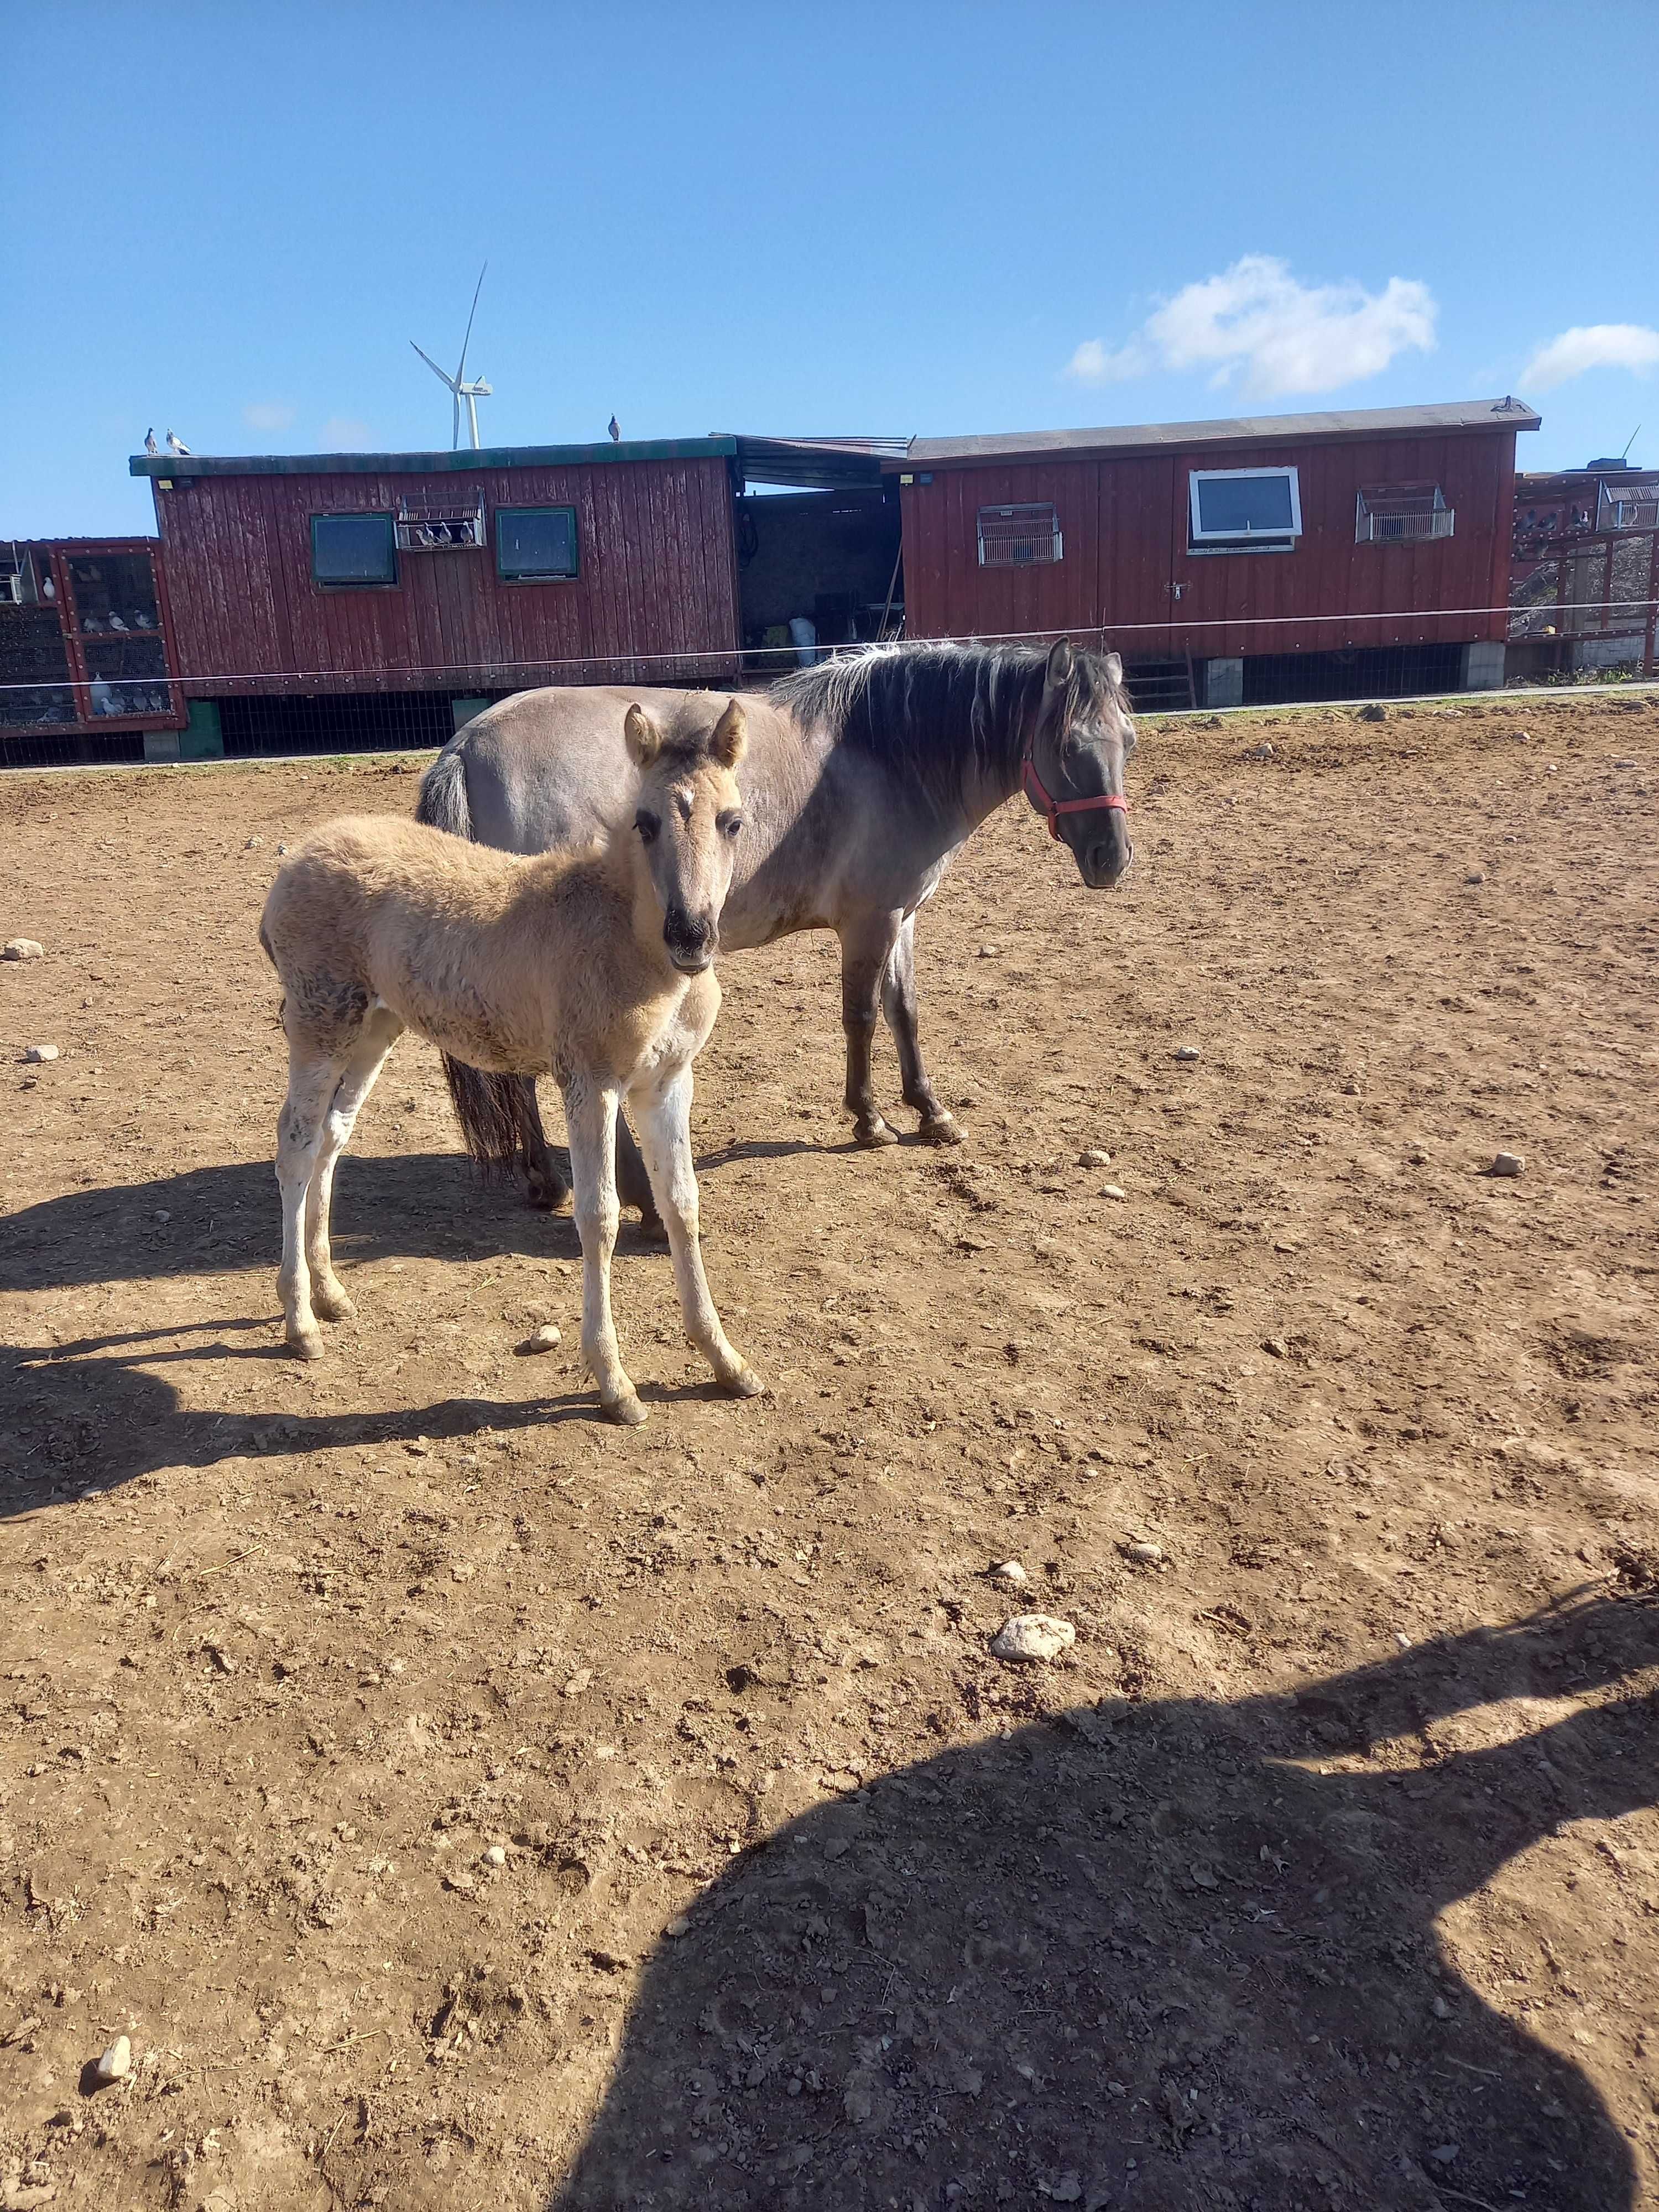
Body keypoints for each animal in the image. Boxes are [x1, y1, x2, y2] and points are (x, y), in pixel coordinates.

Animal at [257, 690, 765, 1425]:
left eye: (732, 822)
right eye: (644, 823)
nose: (691, 936)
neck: (626, 935)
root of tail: (294, 862)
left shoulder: (668, 1081)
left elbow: (683, 1203)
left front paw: (726, 1361)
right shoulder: (590, 1081)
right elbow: (599, 1216)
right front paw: (615, 1383)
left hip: (374, 1026)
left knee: (331, 1136)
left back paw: (330, 1293)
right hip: (319, 1022)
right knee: (295, 1144)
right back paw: (300, 1323)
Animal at [422, 641, 1141, 1221]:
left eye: (1128, 741)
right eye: (1068, 745)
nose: (1112, 859)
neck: (891, 755)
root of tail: (466, 744)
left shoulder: (903, 915)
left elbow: (904, 1011)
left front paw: (931, 1111)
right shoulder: (871, 921)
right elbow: (861, 1017)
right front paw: (870, 1119)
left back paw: (545, 1180)